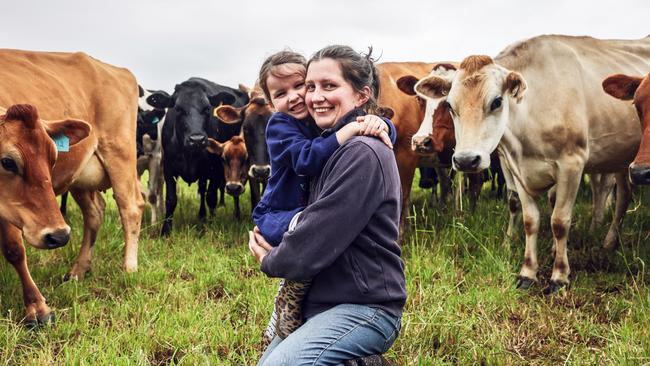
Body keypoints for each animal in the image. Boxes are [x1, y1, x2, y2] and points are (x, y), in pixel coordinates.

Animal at [0, 49, 143, 286]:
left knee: (131, 208)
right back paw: (79, 270)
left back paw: (129, 268)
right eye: (7, 162)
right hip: (80, 178)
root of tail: (118, 71)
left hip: (120, 154)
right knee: (94, 213)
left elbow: (14, 249)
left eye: (53, 157)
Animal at [154, 78, 248, 236]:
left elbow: (211, 197)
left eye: (207, 108)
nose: (197, 139)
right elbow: (171, 199)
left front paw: (210, 225)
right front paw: (166, 231)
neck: (189, 154)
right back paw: (202, 215)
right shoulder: (168, 168)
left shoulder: (216, 168)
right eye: (178, 109)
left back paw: (236, 215)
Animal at [412, 35, 648, 292]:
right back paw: (605, 239)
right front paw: (527, 273)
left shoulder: (571, 164)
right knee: (620, 195)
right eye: (450, 105)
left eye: (496, 102)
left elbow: (559, 221)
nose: (465, 160)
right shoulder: (516, 170)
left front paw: (559, 275)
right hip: (620, 160)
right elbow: (530, 220)